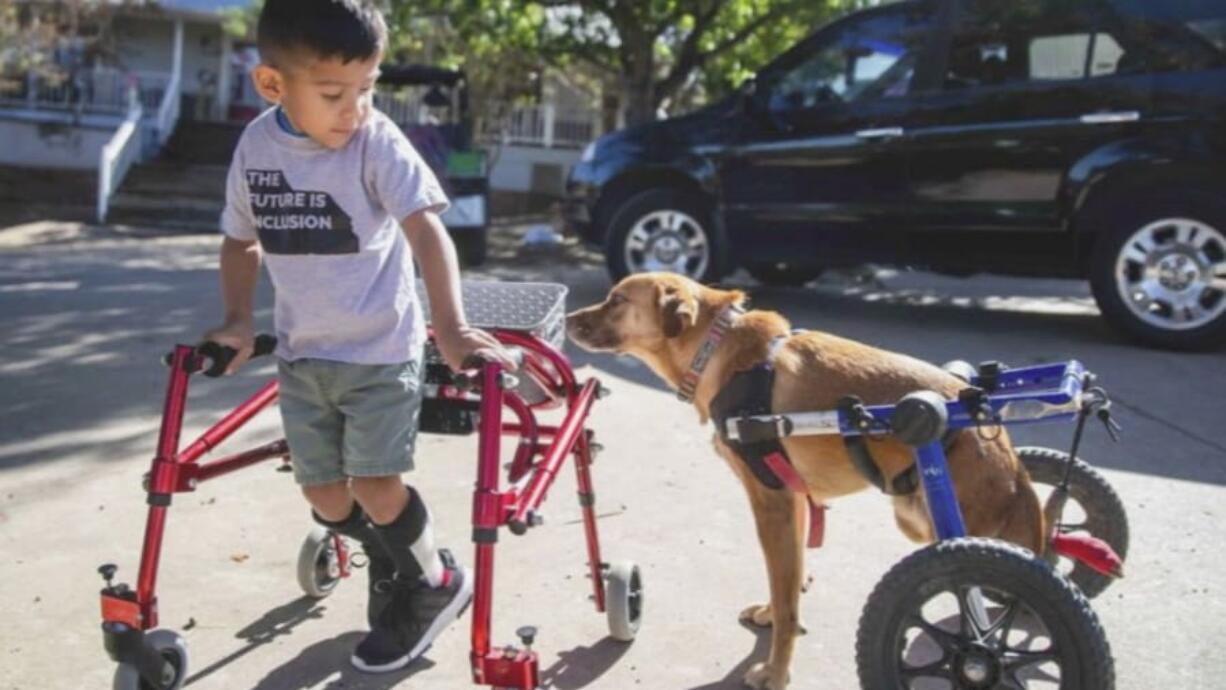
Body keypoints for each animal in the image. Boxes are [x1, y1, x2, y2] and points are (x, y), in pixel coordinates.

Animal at [566, 274, 1044, 690]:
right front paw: (771, 614)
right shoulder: (793, 500)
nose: (568, 317)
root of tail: (1000, 441)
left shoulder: (770, 502)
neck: (718, 350)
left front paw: (775, 673)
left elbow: (787, 599)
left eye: (616, 300)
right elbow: (788, 581)